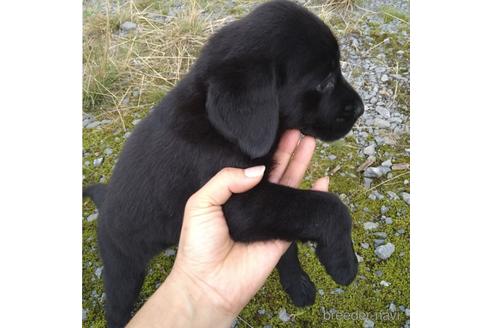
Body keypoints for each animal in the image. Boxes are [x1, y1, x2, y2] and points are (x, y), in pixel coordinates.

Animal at [83, 1, 362, 326]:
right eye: (325, 81)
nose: (360, 109)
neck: (217, 126)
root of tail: (104, 203)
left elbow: (288, 243)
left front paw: (297, 283)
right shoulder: (242, 203)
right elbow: (329, 206)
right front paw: (343, 261)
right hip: (123, 267)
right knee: (116, 306)